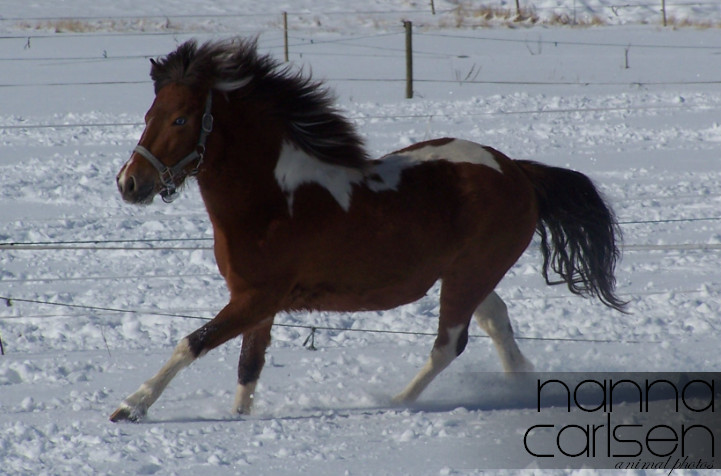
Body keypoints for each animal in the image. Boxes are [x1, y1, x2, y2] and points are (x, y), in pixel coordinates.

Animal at [108, 39, 624, 422]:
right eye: (149, 115)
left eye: (180, 118)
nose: (130, 183)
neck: (272, 201)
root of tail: (517, 171)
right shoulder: (256, 302)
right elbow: (247, 369)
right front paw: (237, 419)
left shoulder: (256, 298)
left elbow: (191, 342)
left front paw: (131, 406)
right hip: (468, 273)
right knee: (496, 323)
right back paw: (520, 387)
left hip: (471, 273)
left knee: (448, 344)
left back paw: (395, 402)